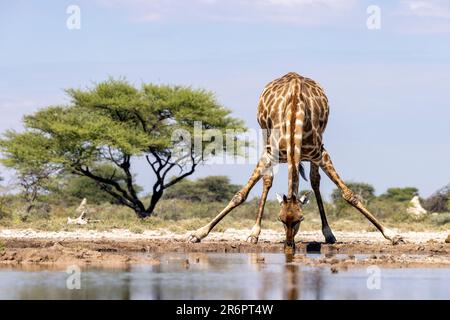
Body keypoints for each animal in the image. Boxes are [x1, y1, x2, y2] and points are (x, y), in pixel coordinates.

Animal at [187, 72, 404, 248]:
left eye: (301, 218)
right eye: (280, 219)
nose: (289, 244)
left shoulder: (321, 153)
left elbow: (349, 195)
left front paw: (393, 235)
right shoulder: (269, 154)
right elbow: (240, 195)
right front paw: (198, 234)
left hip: (315, 150)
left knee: (315, 181)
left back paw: (329, 234)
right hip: (268, 141)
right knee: (268, 181)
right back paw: (254, 234)